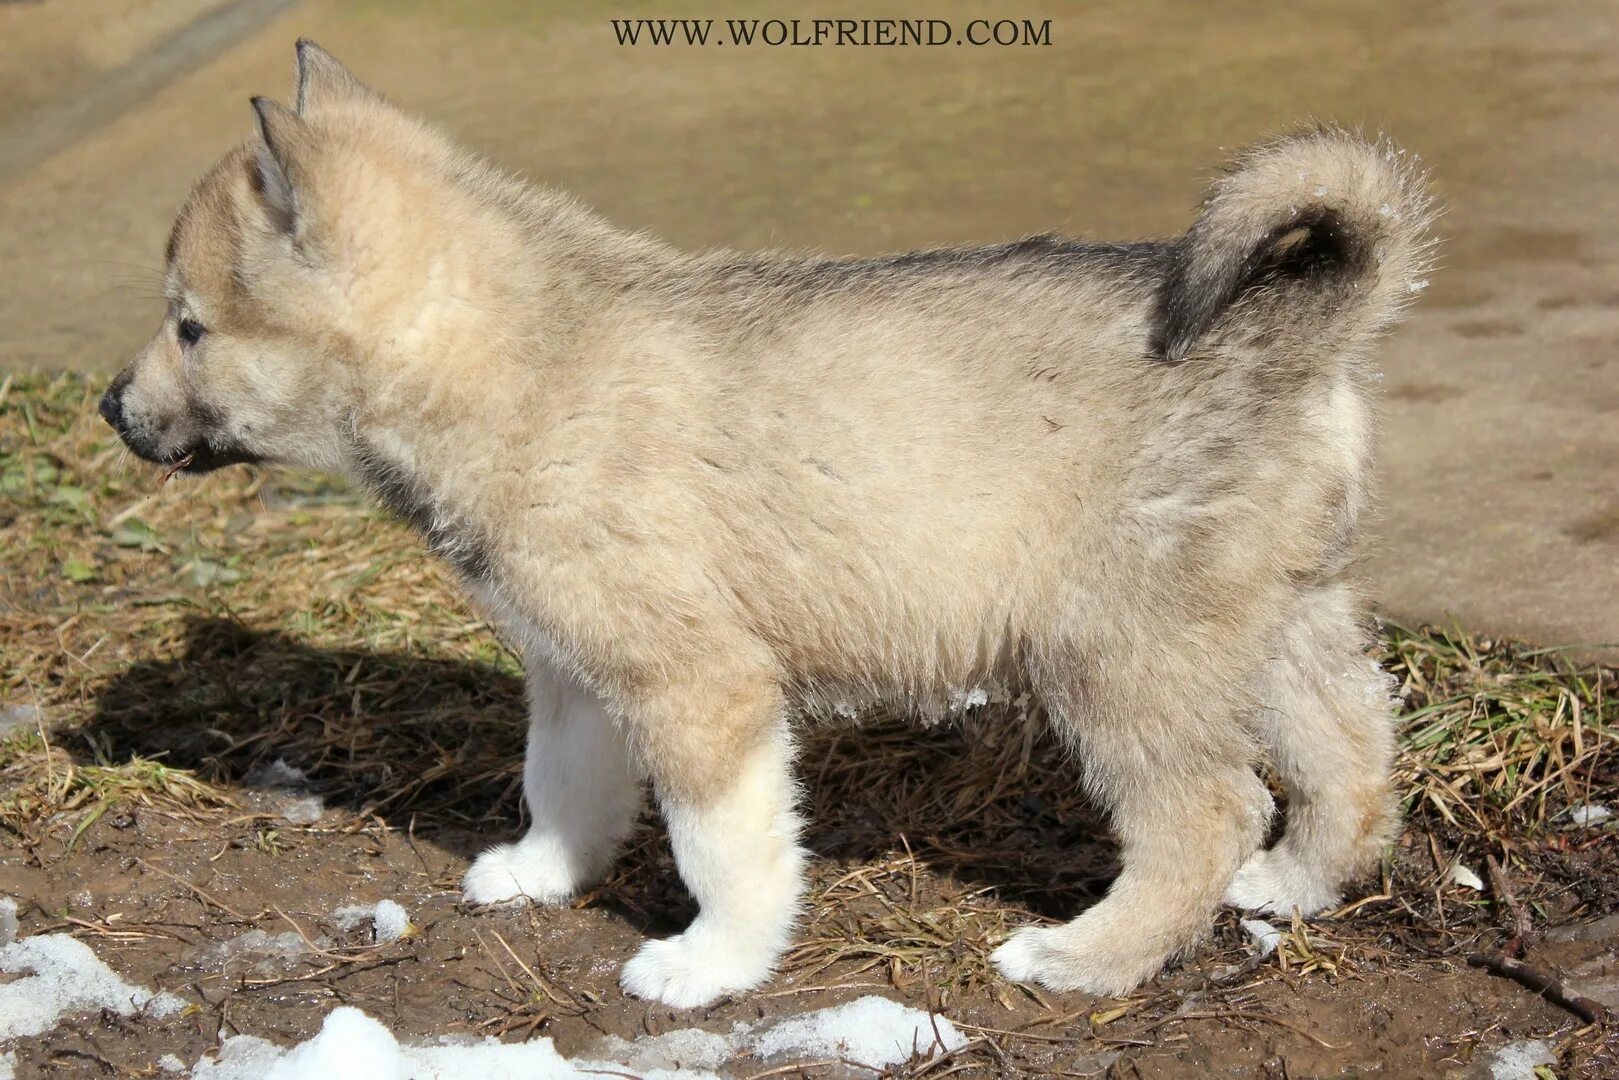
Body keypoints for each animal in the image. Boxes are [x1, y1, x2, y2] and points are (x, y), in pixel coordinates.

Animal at [104, 40, 1431, 1003]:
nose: (111, 407)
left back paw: (1084, 956)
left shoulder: (701, 688)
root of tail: (1296, 330)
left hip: (1117, 659)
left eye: (189, 326)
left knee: (1203, 810)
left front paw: (710, 966)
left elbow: (723, 848)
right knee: (1350, 754)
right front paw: (540, 875)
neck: (504, 357)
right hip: (1271, 620)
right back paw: (1290, 884)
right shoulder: (576, 669)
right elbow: (562, 783)